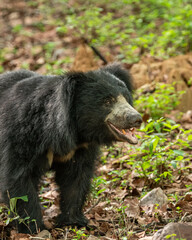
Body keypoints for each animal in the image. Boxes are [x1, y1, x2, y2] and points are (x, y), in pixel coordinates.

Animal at [0, 63, 141, 232]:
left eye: (126, 98)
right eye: (107, 101)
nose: (136, 119)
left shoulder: (79, 150)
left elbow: (75, 179)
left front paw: (73, 221)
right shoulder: (21, 136)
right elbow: (19, 179)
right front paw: (34, 227)